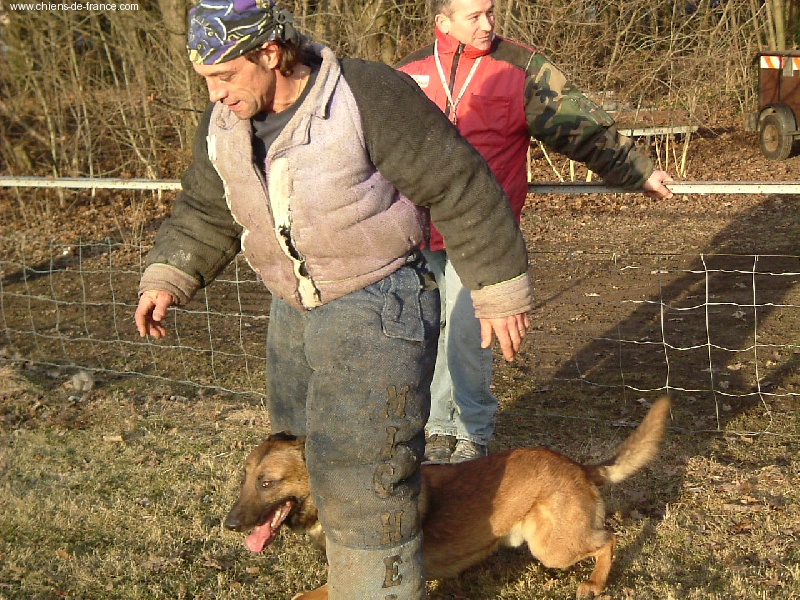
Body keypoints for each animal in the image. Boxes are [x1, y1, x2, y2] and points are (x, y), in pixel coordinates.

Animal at [223, 396, 668, 596]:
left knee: (609, 539)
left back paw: (594, 583)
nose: (229, 524)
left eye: (267, 483)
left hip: (551, 548)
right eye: (244, 479)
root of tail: (577, 466)